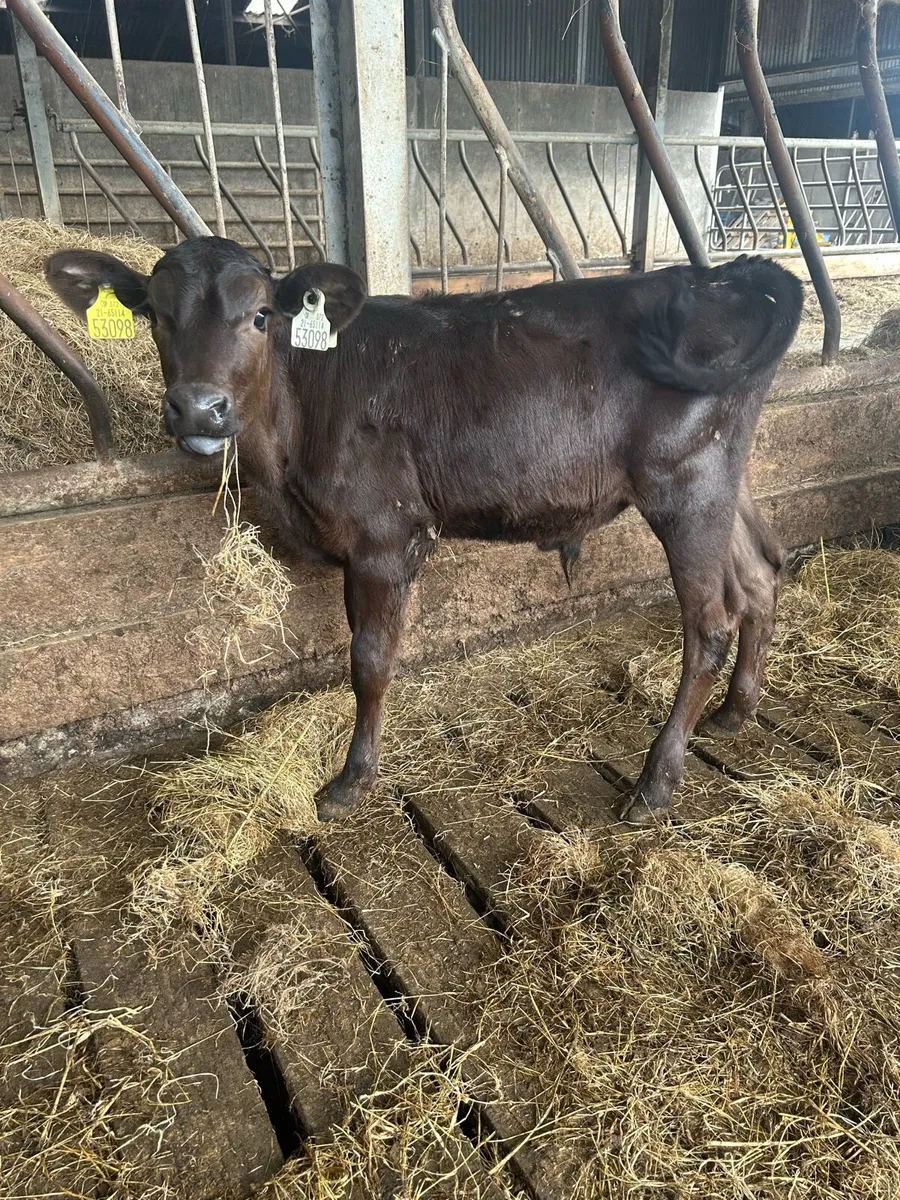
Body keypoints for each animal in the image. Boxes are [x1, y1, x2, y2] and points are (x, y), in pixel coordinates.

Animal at [46, 239, 802, 825]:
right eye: (153, 315)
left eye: (261, 315)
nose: (199, 408)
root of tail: (724, 275)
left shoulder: (385, 537)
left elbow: (370, 660)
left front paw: (352, 780)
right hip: (725, 480)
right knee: (761, 576)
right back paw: (735, 712)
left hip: (685, 483)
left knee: (710, 622)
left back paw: (655, 782)